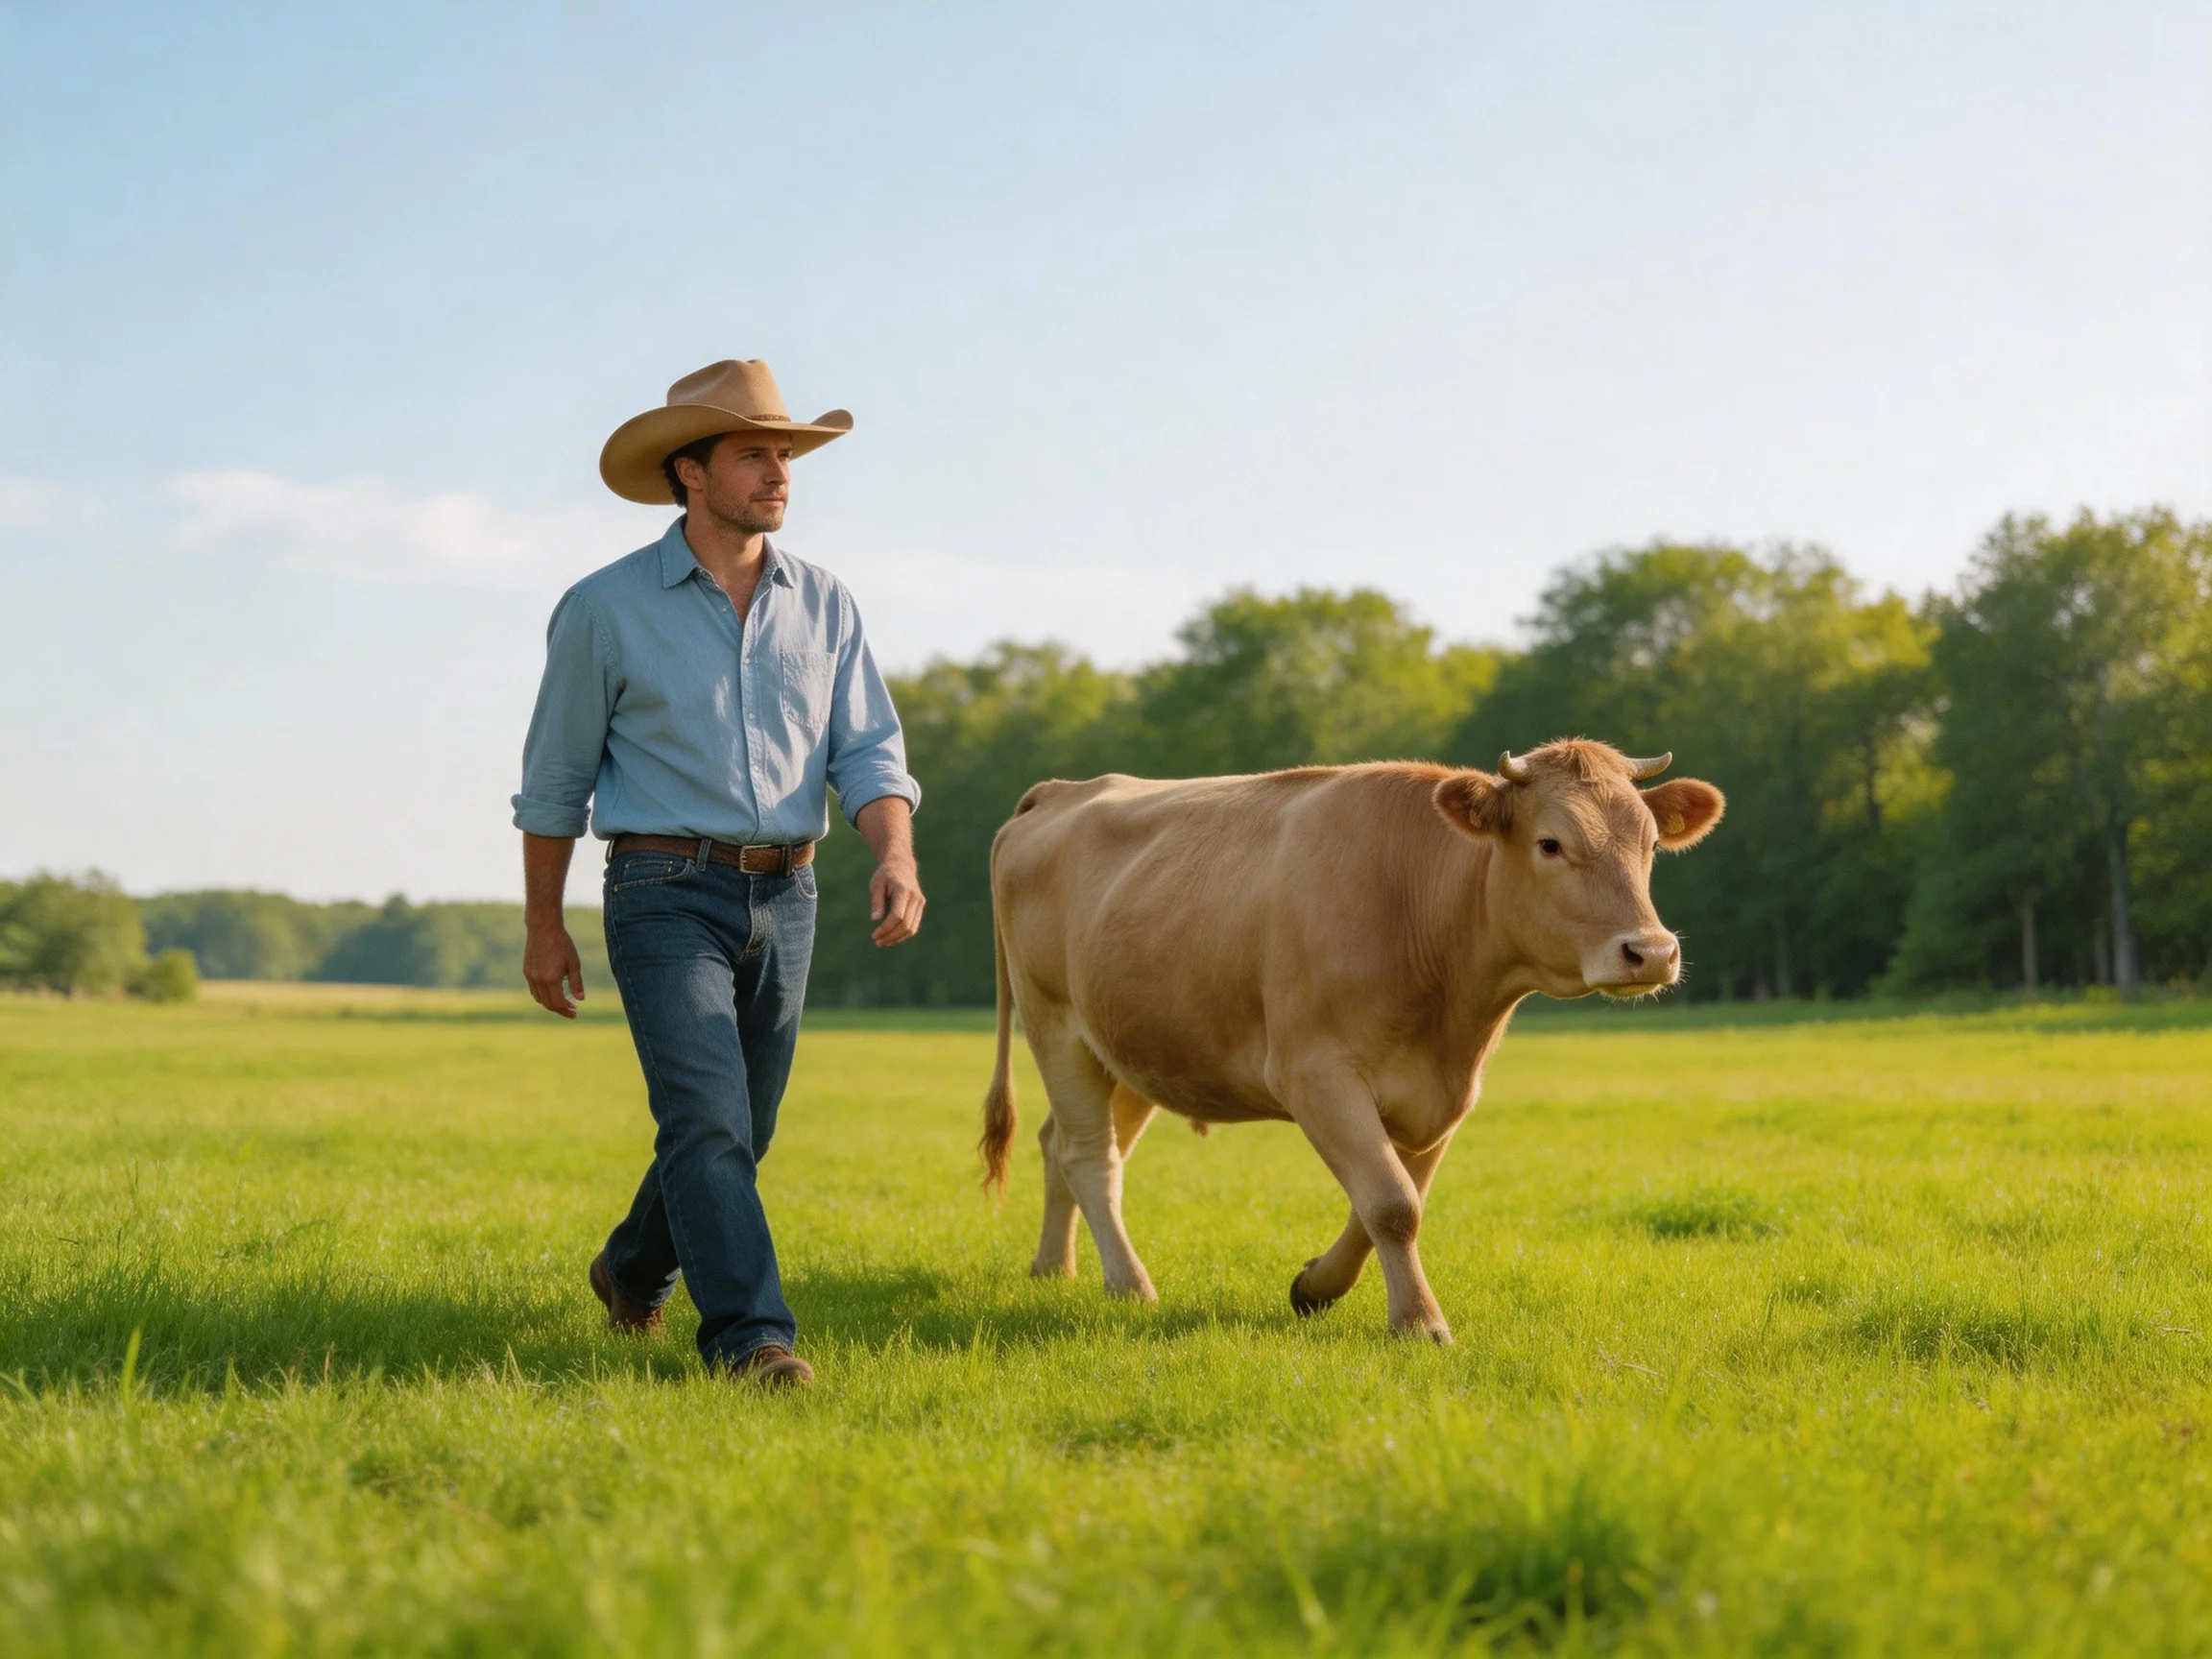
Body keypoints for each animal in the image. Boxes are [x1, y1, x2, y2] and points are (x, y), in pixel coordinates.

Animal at [977, 738, 1725, 1340]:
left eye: (1650, 846)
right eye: (1550, 843)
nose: (1651, 952)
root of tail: (1063, 790)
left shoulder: (1446, 1092)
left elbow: (1388, 1199)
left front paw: (1314, 1285)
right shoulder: (1315, 1074)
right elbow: (1392, 1204)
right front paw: (1418, 1323)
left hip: (1138, 1051)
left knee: (1062, 1144)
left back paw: (1054, 1268)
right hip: (1055, 1025)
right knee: (1088, 1155)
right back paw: (1129, 1286)